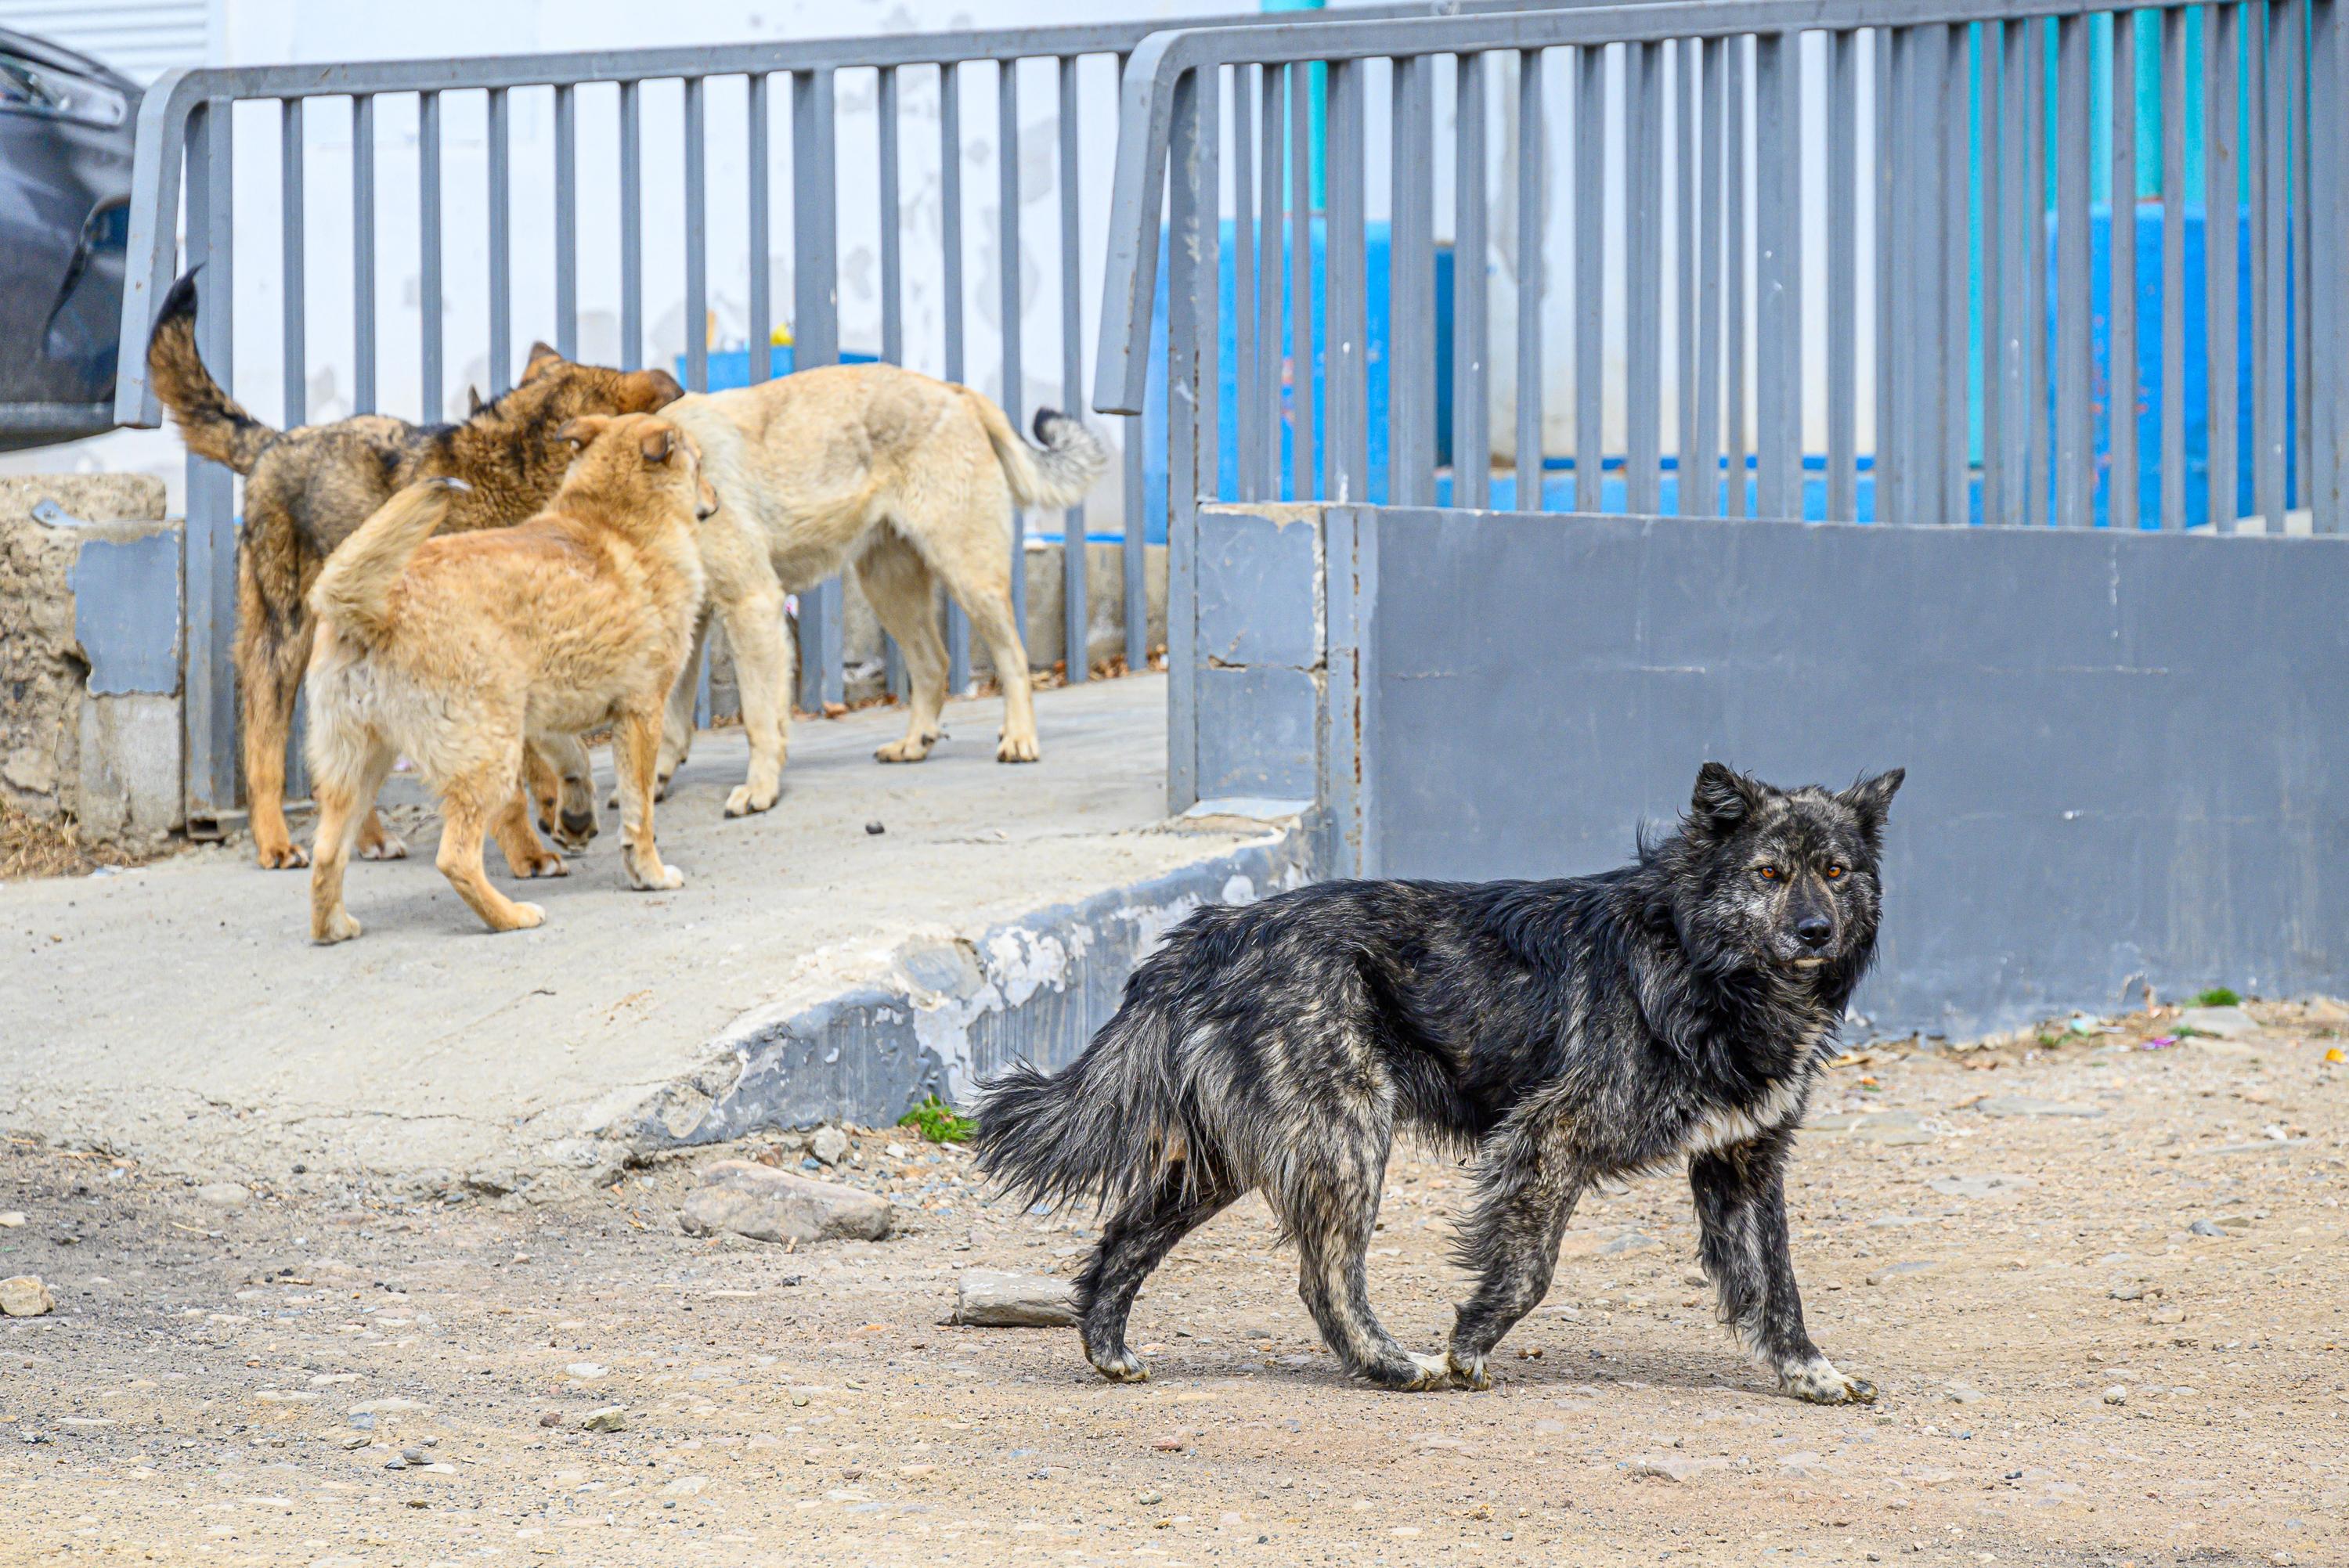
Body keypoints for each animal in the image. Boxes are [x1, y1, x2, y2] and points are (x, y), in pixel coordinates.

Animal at [146, 276, 686, 878]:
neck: (520, 467)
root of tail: (276, 442)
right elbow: (514, 785)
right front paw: (528, 850)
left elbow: (542, 759)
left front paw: (562, 813)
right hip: (282, 645)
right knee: (264, 747)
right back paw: (276, 842)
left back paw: (370, 837)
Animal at [308, 410, 719, 943]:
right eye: (699, 464)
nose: (716, 498)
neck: (615, 517)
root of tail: (371, 610)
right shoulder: (641, 713)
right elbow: (639, 811)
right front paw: (649, 874)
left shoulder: (545, 713)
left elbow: (575, 760)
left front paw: (576, 815)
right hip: (483, 760)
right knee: (455, 858)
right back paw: (509, 916)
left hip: (358, 768)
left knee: (326, 854)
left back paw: (333, 927)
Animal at [653, 361, 1109, 816]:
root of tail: (954, 391)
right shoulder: (688, 625)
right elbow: (670, 719)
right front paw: (654, 782)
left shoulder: (752, 604)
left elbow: (759, 719)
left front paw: (760, 789)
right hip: (890, 590)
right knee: (933, 664)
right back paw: (915, 743)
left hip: (969, 579)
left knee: (1013, 657)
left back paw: (1019, 738)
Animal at [972, 760, 1907, 1399]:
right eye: (1768, 873)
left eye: (1835, 871)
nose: (1818, 932)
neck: (1699, 960)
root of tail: (1214, 929)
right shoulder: (1548, 1136)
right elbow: (1530, 1269)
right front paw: (1469, 1346)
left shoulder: (1744, 1162)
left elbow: (1777, 1281)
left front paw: (1811, 1372)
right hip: (1344, 1134)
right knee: (1325, 1276)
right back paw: (1391, 1363)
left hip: (1224, 1157)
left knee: (1124, 1238)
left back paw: (1107, 1346)